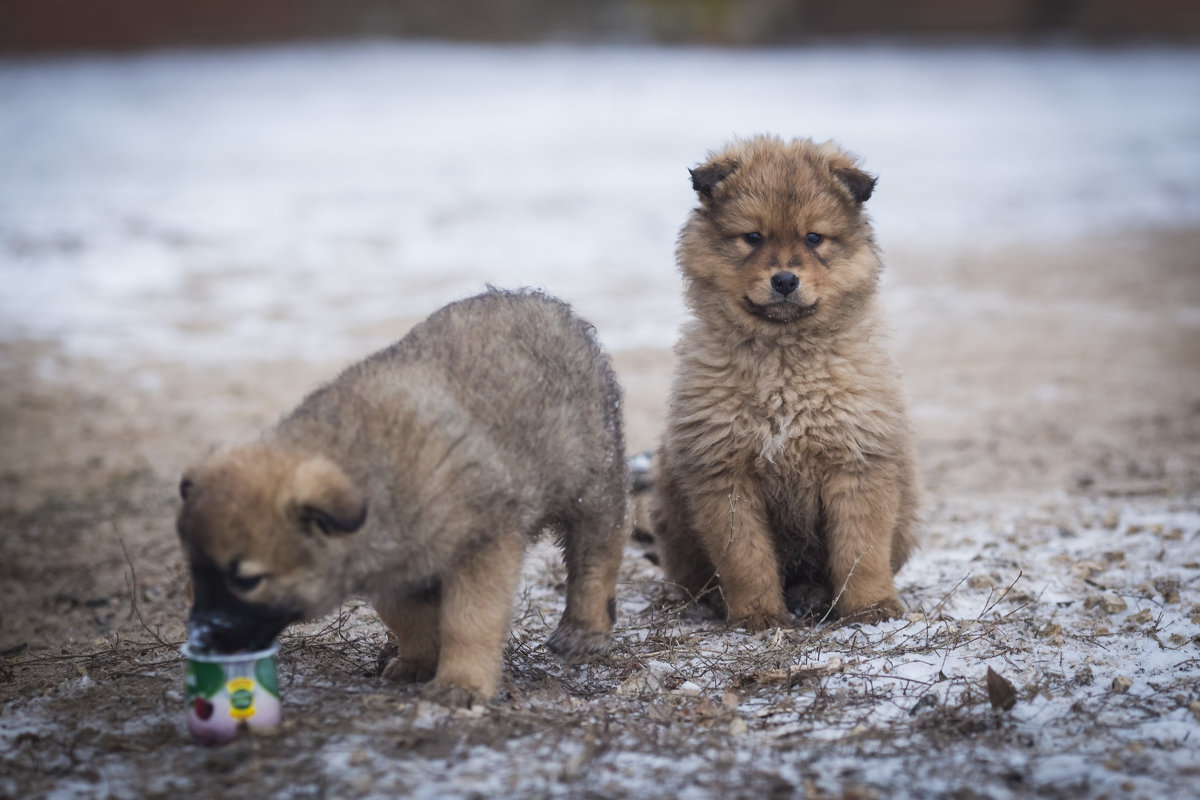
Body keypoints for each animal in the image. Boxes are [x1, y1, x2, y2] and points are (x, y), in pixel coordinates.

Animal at [652, 133, 912, 633]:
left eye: (814, 238)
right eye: (752, 237)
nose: (785, 280)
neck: (784, 362)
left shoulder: (856, 461)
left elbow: (861, 550)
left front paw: (871, 608)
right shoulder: (725, 473)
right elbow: (746, 559)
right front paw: (758, 616)